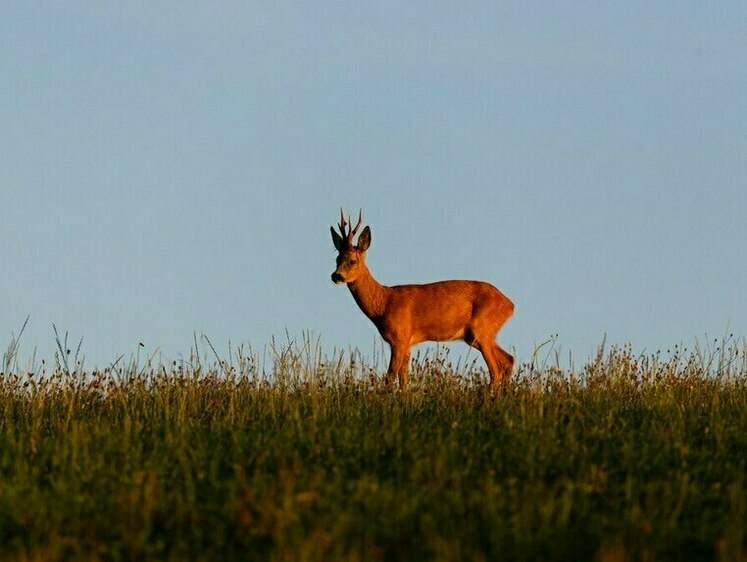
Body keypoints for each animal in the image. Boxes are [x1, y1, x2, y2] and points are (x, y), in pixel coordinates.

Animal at [334, 209, 516, 390]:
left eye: (352, 261)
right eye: (336, 259)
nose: (336, 276)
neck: (382, 304)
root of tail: (510, 304)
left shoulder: (399, 338)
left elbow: (390, 377)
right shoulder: (407, 343)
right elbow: (403, 379)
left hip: (481, 329)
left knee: (496, 370)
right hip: (478, 335)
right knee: (509, 359)